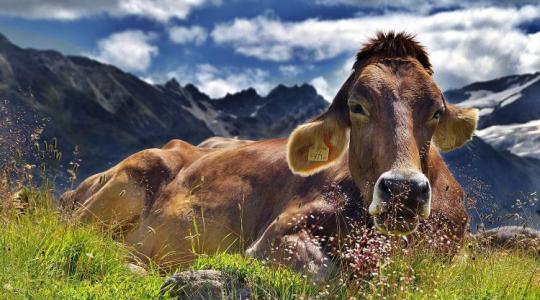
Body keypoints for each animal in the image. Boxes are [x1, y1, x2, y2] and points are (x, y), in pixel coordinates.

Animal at [61, 31, 478, 278]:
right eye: (357, 106)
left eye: (436, 111)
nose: (403, 191)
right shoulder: (274, 237)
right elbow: (320, 272)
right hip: (128, 178)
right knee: (84, 234)